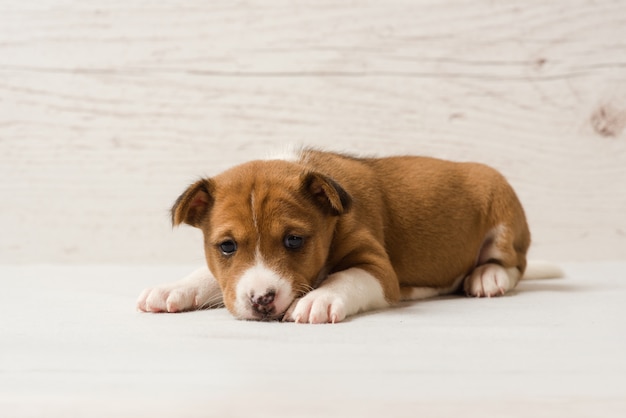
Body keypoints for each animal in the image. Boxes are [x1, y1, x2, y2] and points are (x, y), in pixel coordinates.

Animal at [138, 149, 556, 324]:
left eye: (294, 240)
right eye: (226, 246)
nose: (262, 301)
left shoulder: (377, 268)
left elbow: (346, 278)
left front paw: (318, 299)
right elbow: (211, 277)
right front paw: (175, 288)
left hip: (503, 216)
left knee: (513, 264)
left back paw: (487, 276)